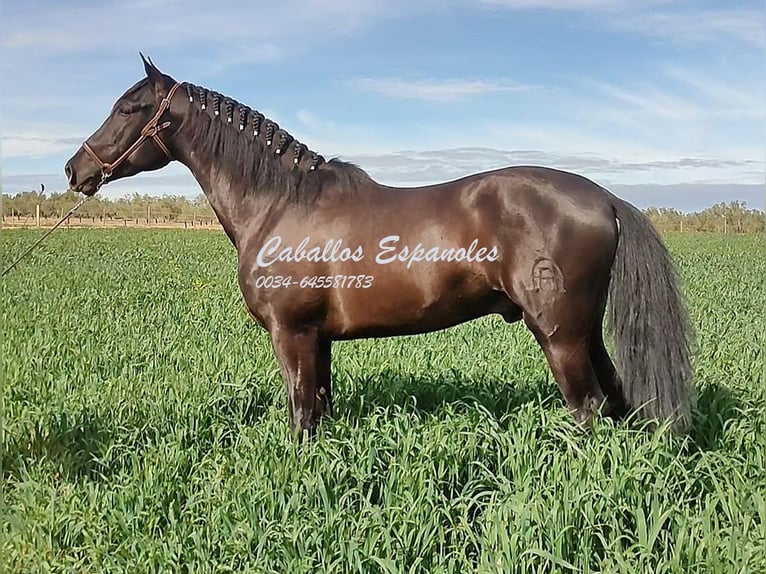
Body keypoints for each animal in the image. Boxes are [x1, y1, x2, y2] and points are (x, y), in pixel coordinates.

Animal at [64, 55, 696, 440]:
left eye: (128, 108)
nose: (75, 170)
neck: (280, 203)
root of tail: (605, 198)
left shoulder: (292, 333)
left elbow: (300, 414)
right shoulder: (317, 339)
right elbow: (319, 408)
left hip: (560, 335)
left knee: (588, 409)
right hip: (586, 332)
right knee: (615, 402)